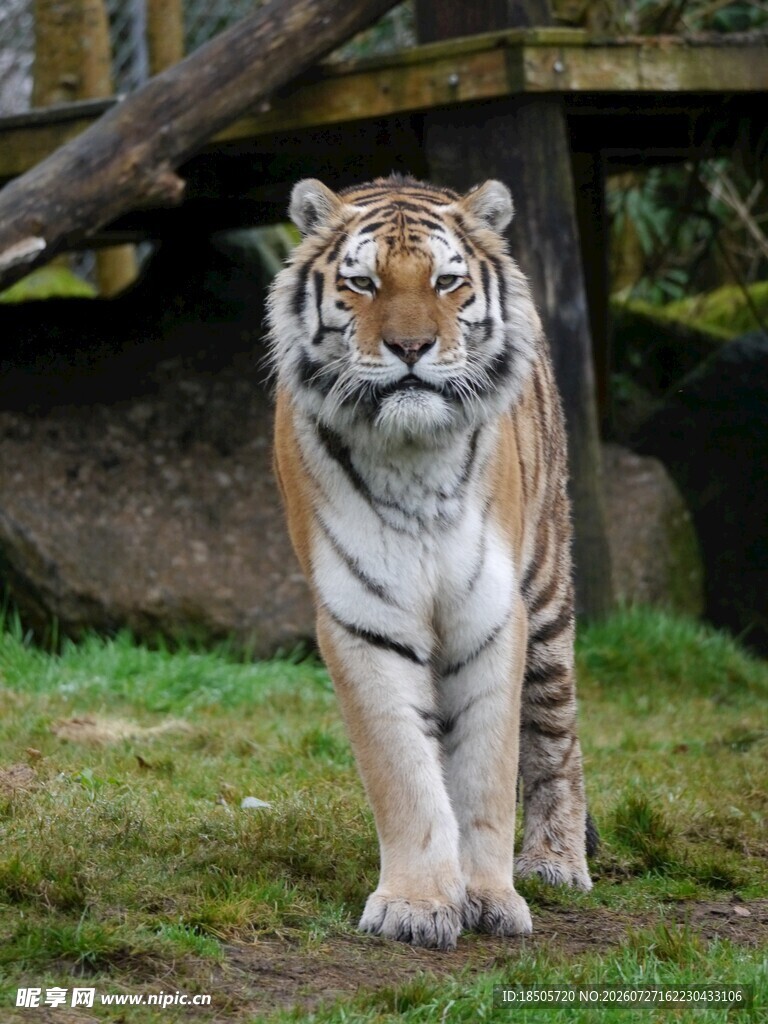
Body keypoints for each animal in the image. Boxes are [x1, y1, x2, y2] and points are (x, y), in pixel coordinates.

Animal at [267, 174, 593, 952]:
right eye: (361, 282)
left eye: (447, 282)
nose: (411, 346)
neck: (414, 459)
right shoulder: (364, 619)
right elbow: (406, 774)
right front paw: (418, 904)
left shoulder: (494, 614)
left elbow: (487, 770)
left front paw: (492, 898)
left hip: (548, 591)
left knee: (555, 732)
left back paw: (557, 861)